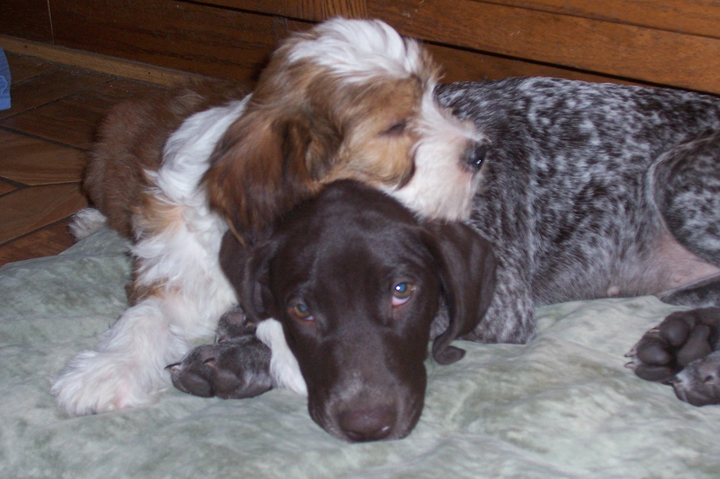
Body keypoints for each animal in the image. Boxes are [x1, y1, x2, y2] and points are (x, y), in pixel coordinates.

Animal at [53, 18, 486, 416]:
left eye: (433, 98)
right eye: (395, 127)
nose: (480, 152)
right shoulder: (176, 269)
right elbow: (145, 316)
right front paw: (105, 372)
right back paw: (89, 221)